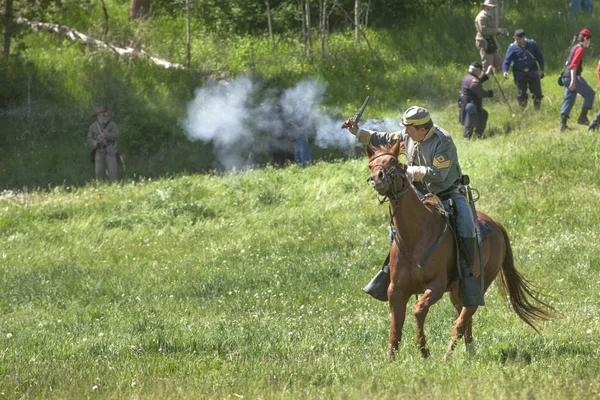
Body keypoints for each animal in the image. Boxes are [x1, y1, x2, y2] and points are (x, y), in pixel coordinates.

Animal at [364, 141, 552, 360]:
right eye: (371, 165)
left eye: (393, 161)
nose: (378, 178)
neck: (416, 237)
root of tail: (495, 224)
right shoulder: (396, 290)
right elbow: (396, 327)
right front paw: (391, 359)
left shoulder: (436, 286)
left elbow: (418, 310)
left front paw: (424, 351)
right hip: (457, 289)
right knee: (462, 311)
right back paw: (469, 350)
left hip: (481, 281)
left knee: (465, 315)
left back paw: (448, 355)